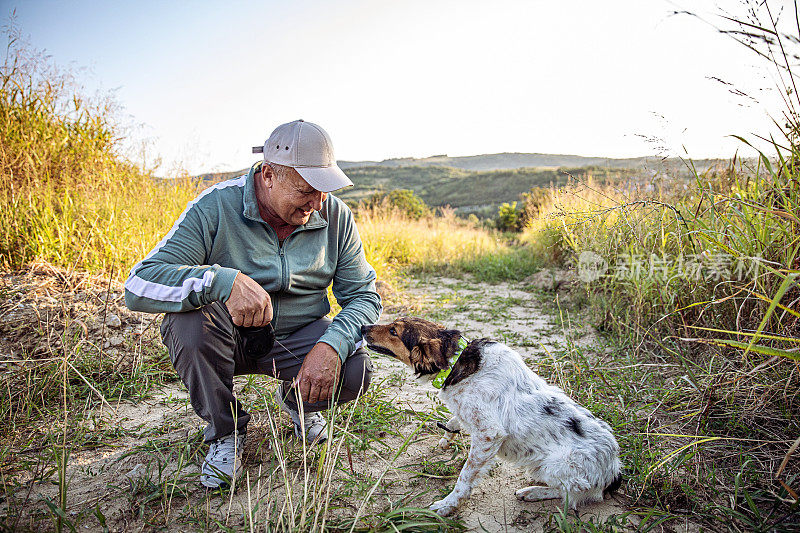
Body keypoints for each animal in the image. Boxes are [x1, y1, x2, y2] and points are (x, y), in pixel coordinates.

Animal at [360, 316, 620, 516]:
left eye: (393, 330)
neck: (457, 363)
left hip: (556, 465)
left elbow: (465, 477)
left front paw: (448, 505)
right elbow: (456, 418)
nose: (362, 327)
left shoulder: (488, 435)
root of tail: (614, 471)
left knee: (572, 493)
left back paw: (534, 492)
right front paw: (447, 435)